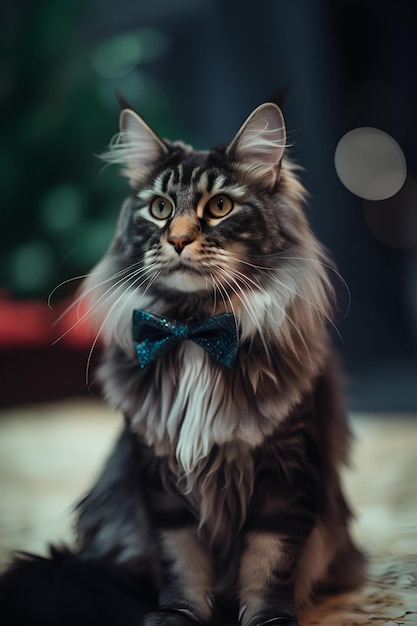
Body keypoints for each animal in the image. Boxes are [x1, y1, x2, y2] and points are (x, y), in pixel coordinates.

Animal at [0, 100, 364, 620]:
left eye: (219, 207)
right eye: (160, 209)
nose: (176, 239)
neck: (194, 331)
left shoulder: (286, 467)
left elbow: (269, 558)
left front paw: (269, 617)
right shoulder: (159, 474)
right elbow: (181, 557)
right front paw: (177, 614)